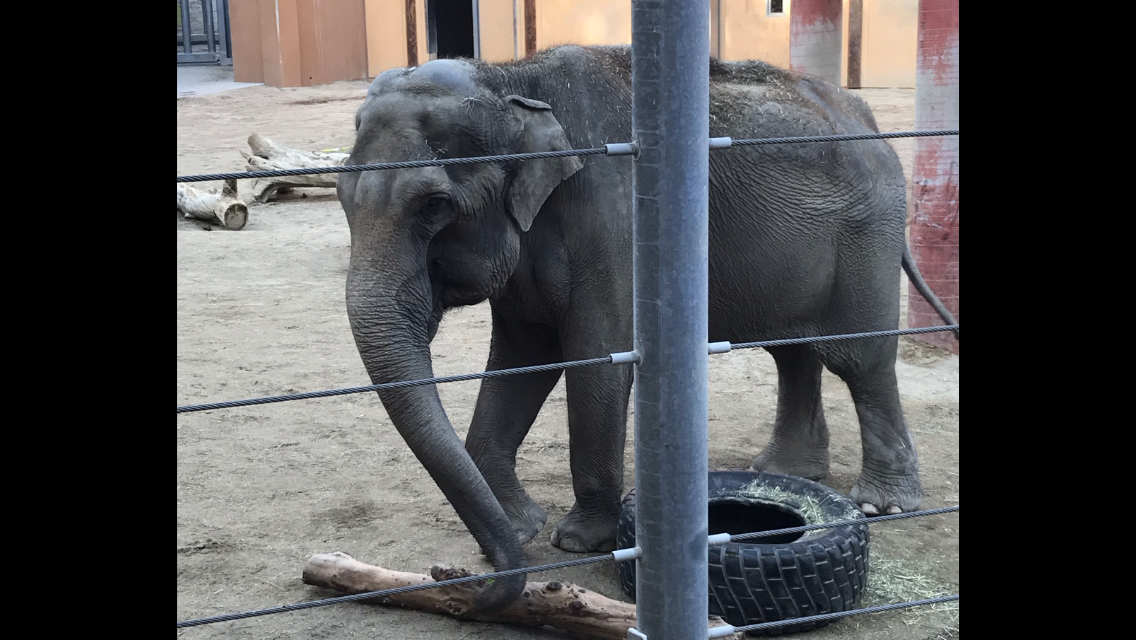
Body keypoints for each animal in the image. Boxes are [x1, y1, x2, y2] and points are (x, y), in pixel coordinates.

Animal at [336, 45, 958, 610]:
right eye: (341, 197)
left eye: (434, 206)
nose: (469, 584)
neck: (511, 77)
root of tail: (868, 121)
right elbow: (521, 360)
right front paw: (520, 527)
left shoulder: (612, 216)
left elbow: (596, 357)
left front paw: (575, 541)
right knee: (793, 352)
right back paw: (781, 470)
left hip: (865, 237)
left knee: (860, 360)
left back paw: (882, 504)